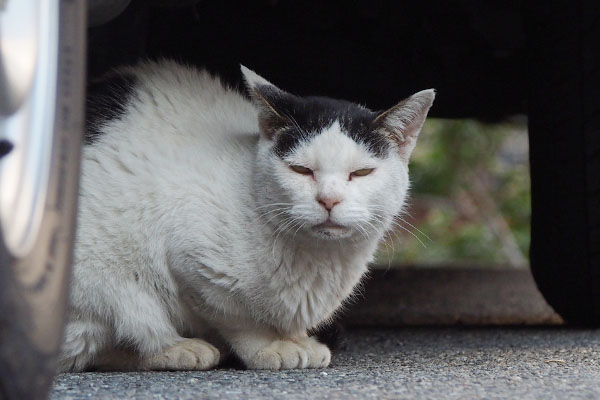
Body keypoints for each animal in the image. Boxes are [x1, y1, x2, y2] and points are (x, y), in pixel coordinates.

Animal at [59, 60, 436, 372]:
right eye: (301, 170)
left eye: (361, 173)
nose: (328, 200)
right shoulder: (192, 266)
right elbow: (237, 319)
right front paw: (270, 347)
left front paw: (297, 339)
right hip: (102, 279)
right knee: (96, 345)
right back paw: (176, 349)